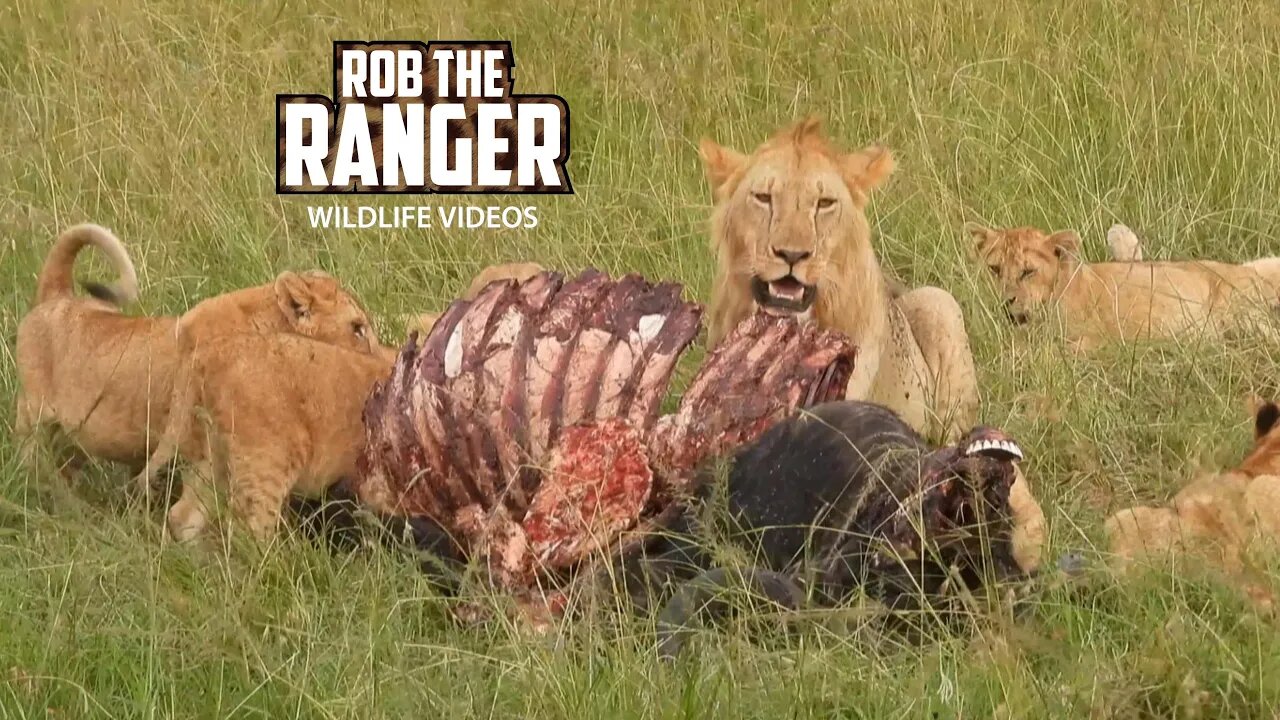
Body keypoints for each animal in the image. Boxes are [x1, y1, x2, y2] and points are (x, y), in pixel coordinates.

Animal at [967, 221, 1280, 351]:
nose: (1007, 302)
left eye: (1028, 272)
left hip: (1241, 316)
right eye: (994, 269)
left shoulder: (1100, 340)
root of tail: (1245, 270)